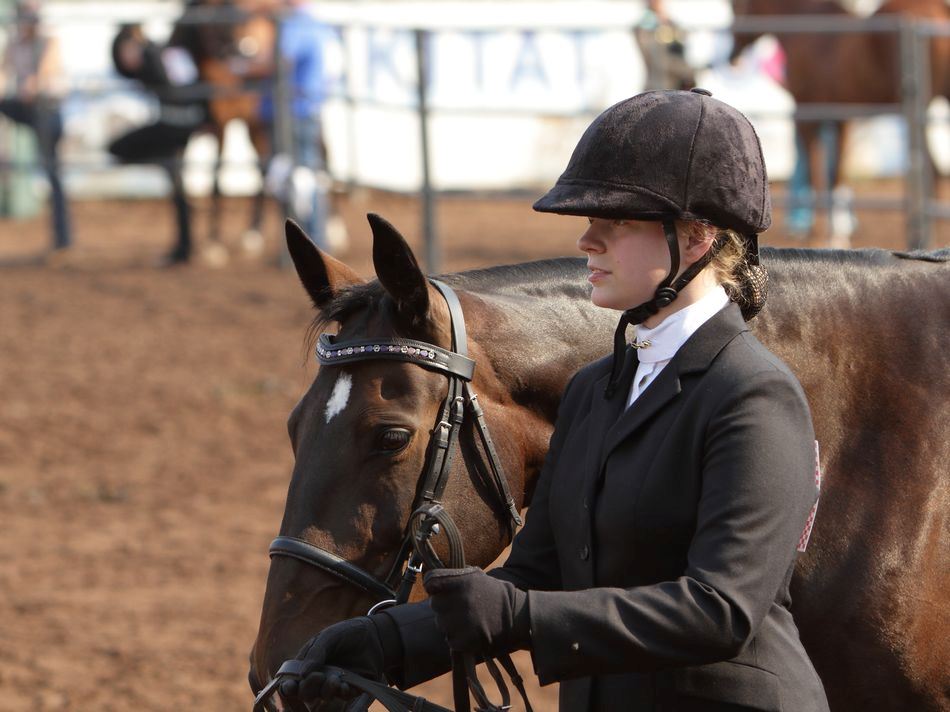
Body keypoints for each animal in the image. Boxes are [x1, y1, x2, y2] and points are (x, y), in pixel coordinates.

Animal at [730, 0, 950, 247]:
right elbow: (837, 173)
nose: (732, 56)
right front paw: (838, 236)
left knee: (933, 168)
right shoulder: (842, 119)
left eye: (737, 6)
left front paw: (820, 236)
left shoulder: (808, 114)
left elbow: (817, 174)